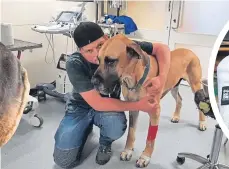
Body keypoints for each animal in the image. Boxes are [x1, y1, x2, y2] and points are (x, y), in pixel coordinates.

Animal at [91, 34, 208, 168]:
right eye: (98, 59)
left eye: (111, 61)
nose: (93, 82)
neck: (133, 78)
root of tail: (189, 50)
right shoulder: (133, 108)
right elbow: (131, 132)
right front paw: (128, 150)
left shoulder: (154, 111)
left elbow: (150, 138)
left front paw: (145, 157)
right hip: (173, 86)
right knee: (179, 99)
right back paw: (176, 116)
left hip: (196, 85)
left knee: (200, 103)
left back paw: (202, 123)